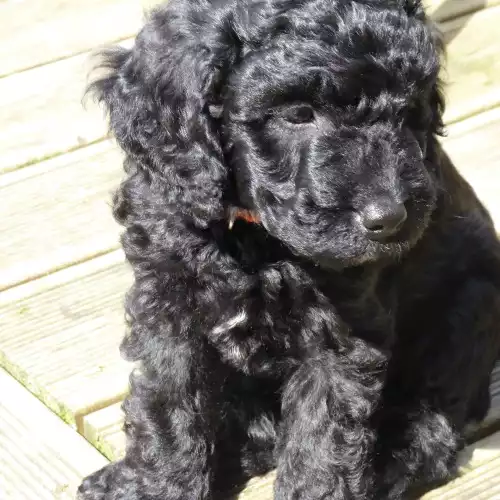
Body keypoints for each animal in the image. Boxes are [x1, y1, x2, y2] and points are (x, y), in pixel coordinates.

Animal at [79, 0, 500, 498]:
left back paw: (390, 462)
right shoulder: (169, 301)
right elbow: (168, 405)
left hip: (468, 310)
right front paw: (154, 484)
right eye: (298, 114)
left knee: (433, 415)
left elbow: (323, 439)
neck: (254, 238)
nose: (390, 219)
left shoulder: (339, 335)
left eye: (407, 110)